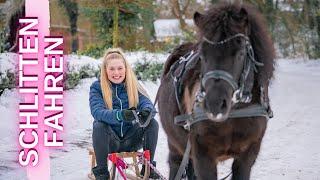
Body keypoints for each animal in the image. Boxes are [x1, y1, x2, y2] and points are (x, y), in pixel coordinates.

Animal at [158, 1, 276, 180]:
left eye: (240, 53)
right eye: (202, 54)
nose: (214, 104)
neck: (234, 114)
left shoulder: (247, 155)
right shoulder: (202, 156)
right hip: (175, 145)